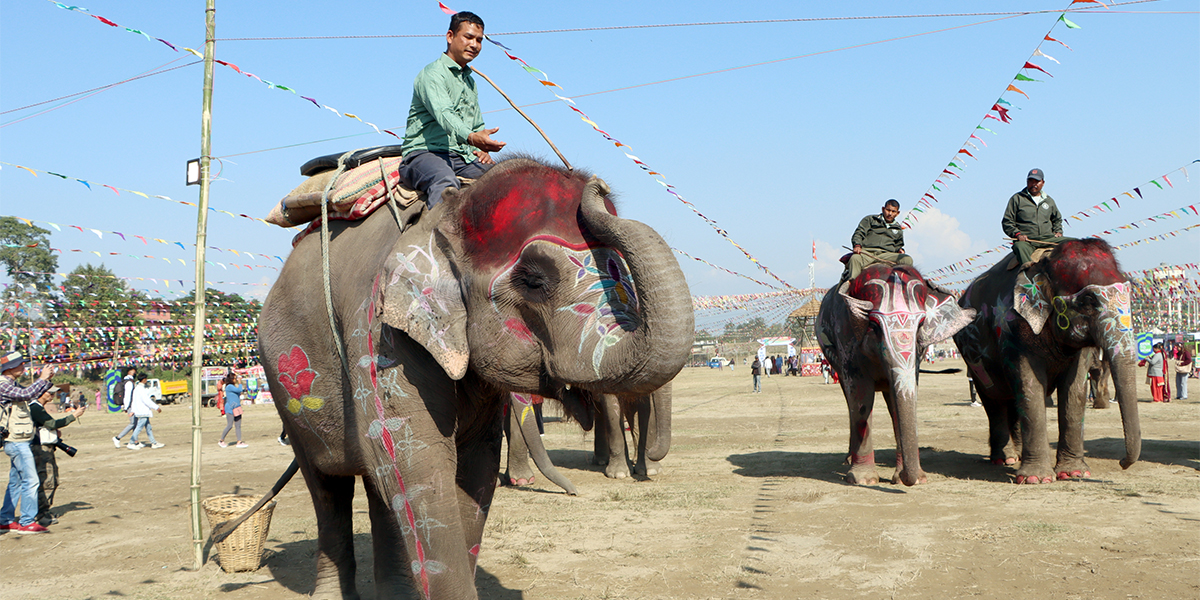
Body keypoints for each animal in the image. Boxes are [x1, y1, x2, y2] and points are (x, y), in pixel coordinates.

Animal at [262, 157, 696, 597]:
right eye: (535, 280)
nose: (598, 186)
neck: (443, 216)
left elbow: (475, 466)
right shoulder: (377, 331)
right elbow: (420, 465)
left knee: (378, 483)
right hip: (283, 383)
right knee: (328, 486)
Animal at [816, 265, 974, 484]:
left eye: (921, 324)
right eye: (873, 325)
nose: (912, 478)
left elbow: (900, 396)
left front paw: (905, 479)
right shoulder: (845, 338)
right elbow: (860, 397)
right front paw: (863, 480)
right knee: (850, 401)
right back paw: (848, 461)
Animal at [950, 236, 1137, 484]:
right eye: (1088, 300)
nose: (1123, 463)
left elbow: (1074, 390)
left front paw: (1073, 473)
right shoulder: (1014, 328)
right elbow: (1030, 386)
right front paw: (1036, 479)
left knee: (1012, 400)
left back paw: (1018, 455)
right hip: (973, 356)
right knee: (994, 399)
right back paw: (1005, 459)